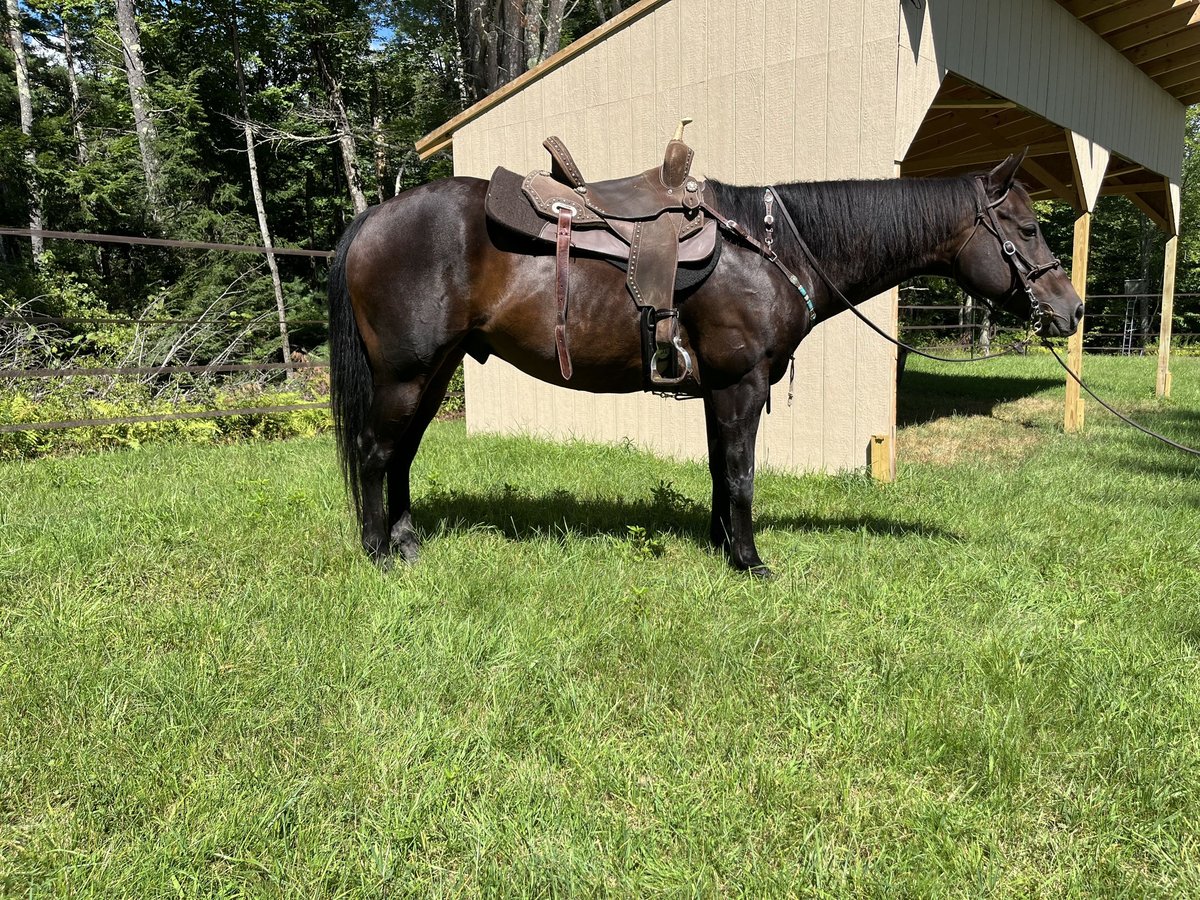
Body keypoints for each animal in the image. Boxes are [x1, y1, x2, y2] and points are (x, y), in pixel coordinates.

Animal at [328, 150, 1089, 578]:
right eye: (1026, 228)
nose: (1072, 309)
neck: (771, 248)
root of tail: (372, 219)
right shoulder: (740, 383)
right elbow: (743, 472)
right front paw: (749, 562)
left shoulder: (718, 390)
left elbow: (722, 471)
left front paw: (722, 544)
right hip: (406, 374)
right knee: (374, 452)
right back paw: (377, 554)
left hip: (432, 374)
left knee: (400, 456)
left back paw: (406, 543)